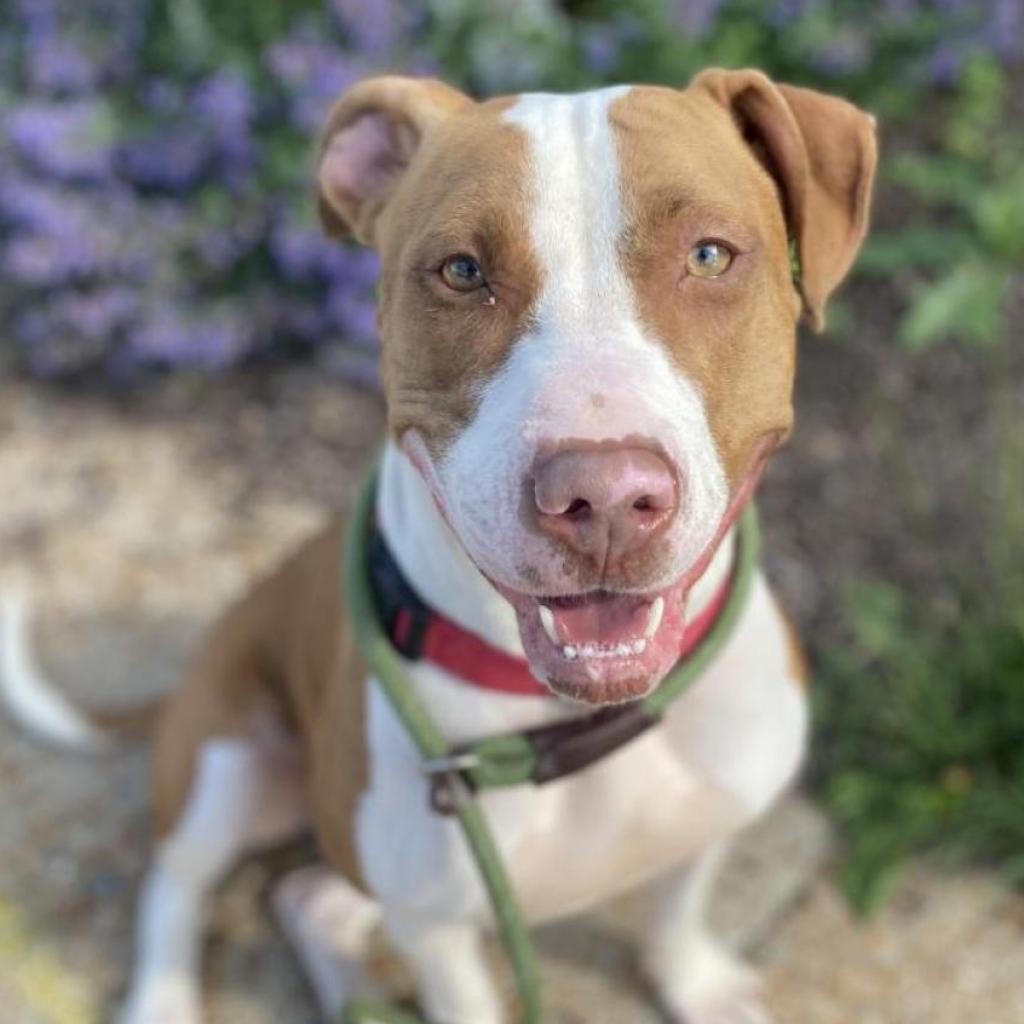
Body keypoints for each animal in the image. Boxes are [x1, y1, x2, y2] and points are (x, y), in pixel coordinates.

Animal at [4, 70, 876, 1024]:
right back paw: (164, 998)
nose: (605, 497)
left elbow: (674, 910)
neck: (568, 728)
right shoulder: (436, 929)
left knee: (305, 898)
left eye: (712, 256)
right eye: (463, 272)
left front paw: (699, 986)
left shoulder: (706, 819)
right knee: (178, 883)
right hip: (226, 768)